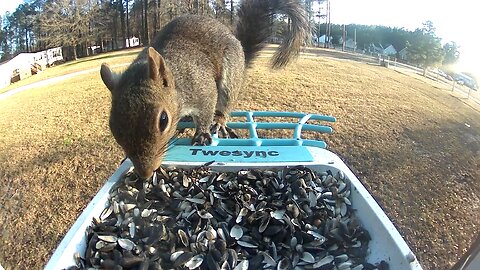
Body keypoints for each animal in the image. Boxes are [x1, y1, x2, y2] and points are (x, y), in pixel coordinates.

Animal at [100, 0, 310, 179]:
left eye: (163, 120)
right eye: (112, 127)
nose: (145, 173)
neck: (177, 83)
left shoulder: (202, 89)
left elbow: (206, 112)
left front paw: (201, 133)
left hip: (230, 76)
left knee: (224, 105)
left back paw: (219, 121)